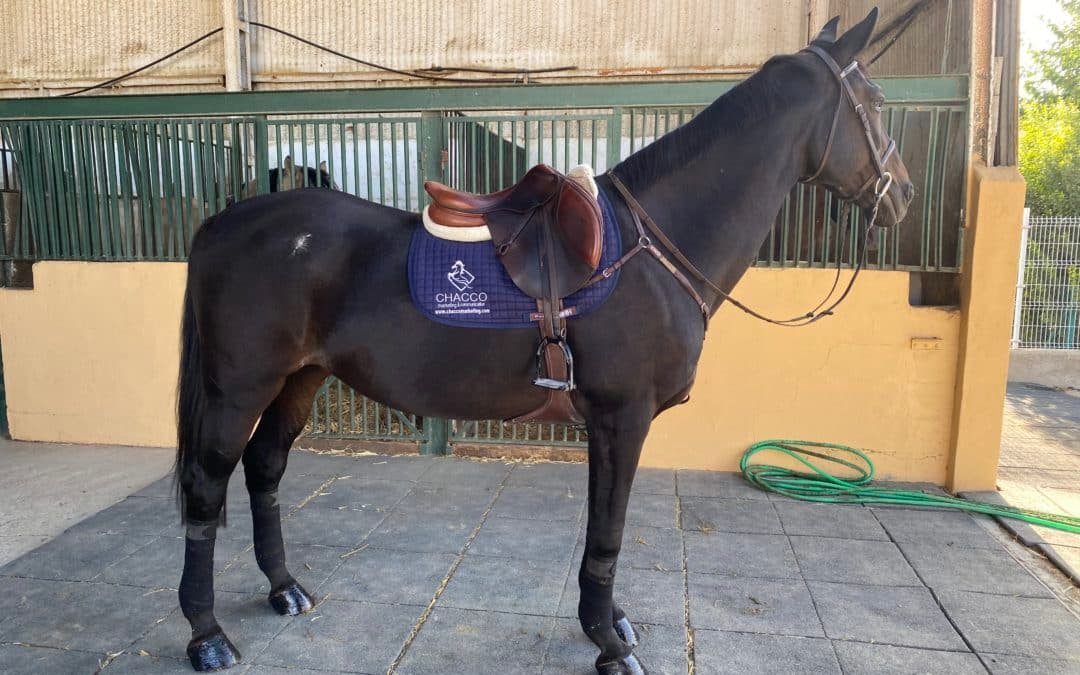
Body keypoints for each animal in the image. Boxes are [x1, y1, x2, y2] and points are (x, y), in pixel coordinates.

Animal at [174, 10, 913, 673]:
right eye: (876, 102)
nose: (902, 195)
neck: (651, 250)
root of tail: (223, 223)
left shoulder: (606, 423)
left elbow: (600, 533)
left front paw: (607, 622)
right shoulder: (622, 419)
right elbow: (607, 535)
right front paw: (609, 644)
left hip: (299, 379)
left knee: (265, 468)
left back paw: (283, 589)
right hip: (238, 388)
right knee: (208, 487)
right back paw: (206, 635)